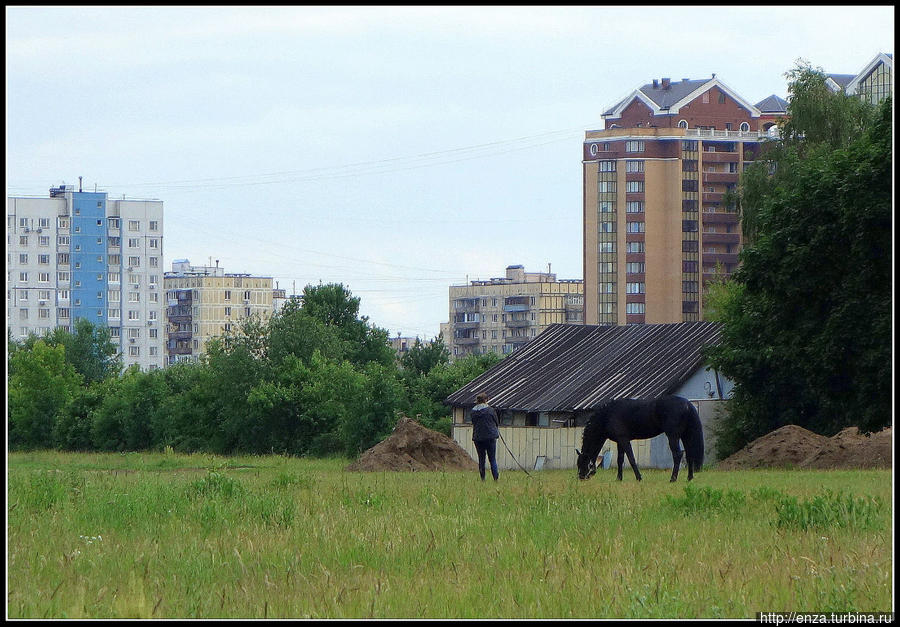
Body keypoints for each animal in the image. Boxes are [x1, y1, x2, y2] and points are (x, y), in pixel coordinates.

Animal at [576, 400, 704, 484]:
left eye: (583, 463)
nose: (581, 477)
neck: (608, 415)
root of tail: (687, 405)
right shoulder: (619, 441)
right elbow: (620, 460)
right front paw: (619, 478)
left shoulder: (624, 440)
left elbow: (631, 459)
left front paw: (639, 478)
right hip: (685, 436)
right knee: (689, 455)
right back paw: (689, 478)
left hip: (673, 436)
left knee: (678, 455)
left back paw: (673, 479)